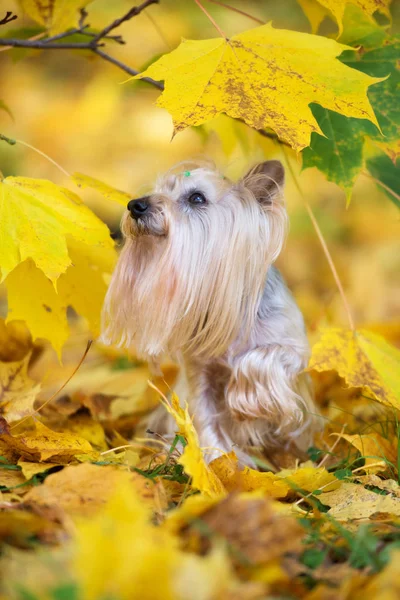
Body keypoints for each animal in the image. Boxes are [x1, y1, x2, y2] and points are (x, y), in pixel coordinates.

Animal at [102, 162, 318, 466]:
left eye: (197, 198)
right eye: (159, 189)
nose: (136, 205)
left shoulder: (294, 351)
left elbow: (259, 358)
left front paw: (247, 403)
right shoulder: (199, 372)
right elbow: (206, 417)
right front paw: (220, 462)